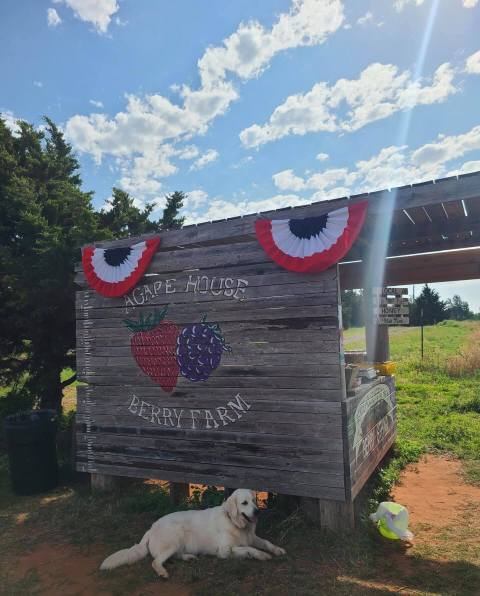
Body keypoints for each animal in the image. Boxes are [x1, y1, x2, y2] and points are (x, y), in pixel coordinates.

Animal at [98, 488, 284, 576]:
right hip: (174, 537)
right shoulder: (224, 551)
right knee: (156, 561)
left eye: (254, 500)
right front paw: (262, 555)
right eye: (244, 503)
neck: (235, 522)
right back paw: (162, 572)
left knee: (173, 556)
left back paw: (189, 557)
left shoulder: (252, 537)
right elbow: (250, 549)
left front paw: (277, 550)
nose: (257, 512)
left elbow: (265, 542)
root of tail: (150, 529)